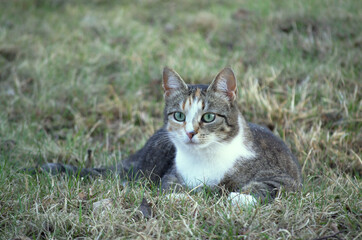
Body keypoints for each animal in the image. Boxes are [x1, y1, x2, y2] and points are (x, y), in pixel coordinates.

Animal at [34, 66, 302, 209]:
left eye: (208, 117)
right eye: (179, 115)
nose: (190, 132)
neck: (204, 157)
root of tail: (138, 155)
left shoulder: (285, 178)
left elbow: (266, 186)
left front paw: (238, 197)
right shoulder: (172, 173)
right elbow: (169, 186)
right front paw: (179, 196)